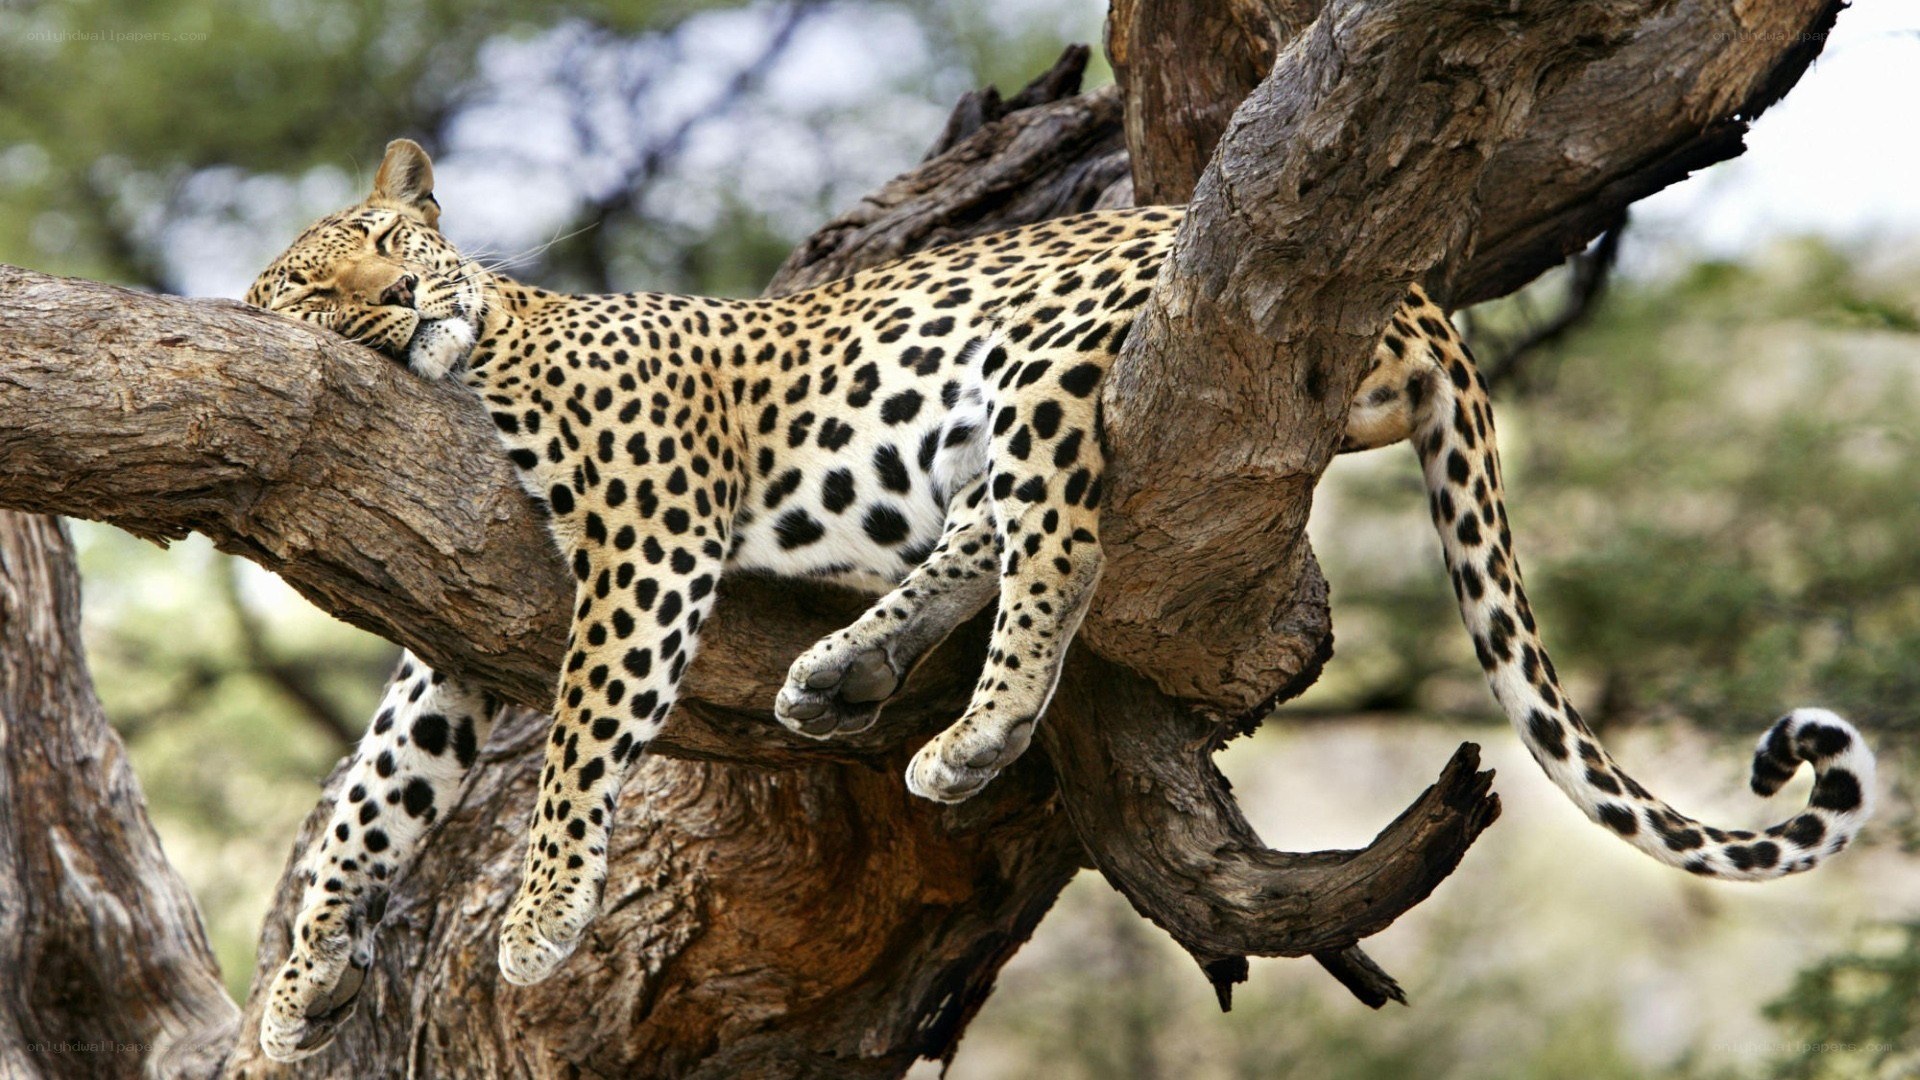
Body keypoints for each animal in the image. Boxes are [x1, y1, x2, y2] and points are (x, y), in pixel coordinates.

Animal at [246, 139, 1875, 1061]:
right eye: (317, 291)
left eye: (389, 247)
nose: (403, 303)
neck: (486, 350)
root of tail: (1419, 292)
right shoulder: (456, 637)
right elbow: (373, 795)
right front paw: (295, 987)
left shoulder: (647, 542)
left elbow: (582, 742)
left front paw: (534, 926)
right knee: (992, 530)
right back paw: (844, 671)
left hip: (1042, 361)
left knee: (1065, 543)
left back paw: (968, 735)